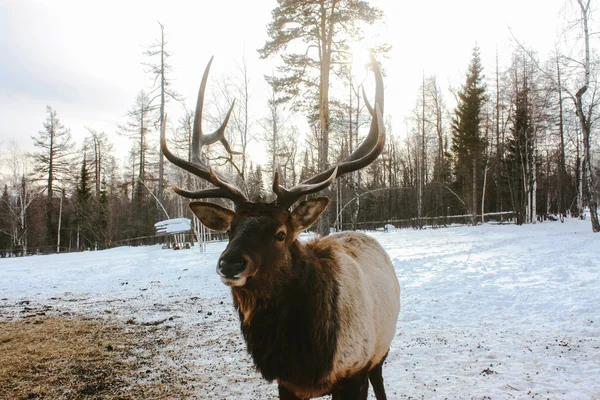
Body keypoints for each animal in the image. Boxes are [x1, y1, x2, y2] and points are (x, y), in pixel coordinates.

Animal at [162, 56, 400, 400]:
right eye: (231, 230)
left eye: (280, 234)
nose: (230, 264)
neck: (302, 355)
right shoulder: (286, 384)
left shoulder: (354, 372)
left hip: (381, 351)